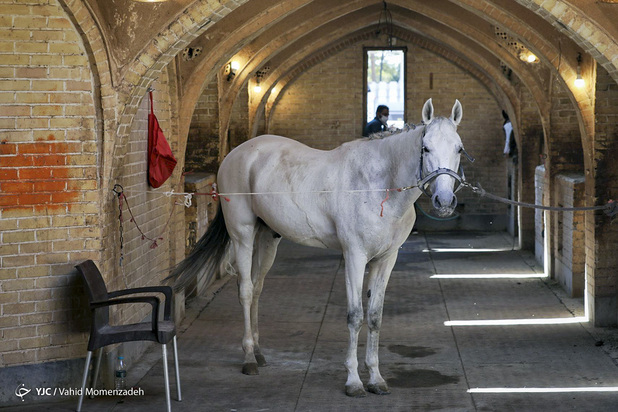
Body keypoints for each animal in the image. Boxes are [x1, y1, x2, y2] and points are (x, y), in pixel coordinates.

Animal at [171, 99, 464, 396]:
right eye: (425, 148)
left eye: (459, 148)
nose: (444, 201)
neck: (378, 186)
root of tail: (236, 154)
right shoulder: (355, 256)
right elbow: (355, 316)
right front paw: (354, 381)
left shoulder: (386, 259)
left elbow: (375, 317)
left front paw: (376, 378)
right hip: (242, 235)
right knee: (246, 291)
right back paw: (249, 358)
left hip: (267, 239)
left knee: (257, 289)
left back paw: (260, 353)